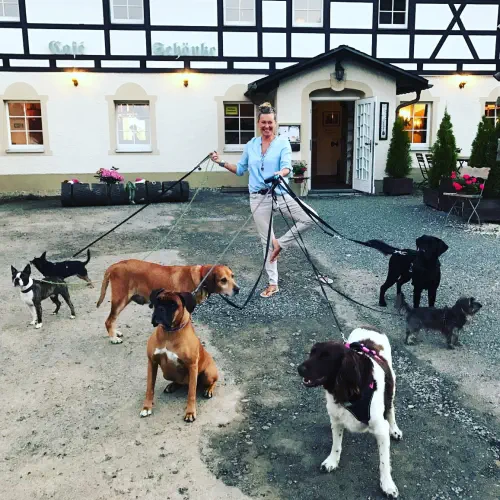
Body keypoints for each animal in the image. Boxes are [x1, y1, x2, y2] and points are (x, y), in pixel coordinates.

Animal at [96, 259, 239, 344]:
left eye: (233, 276)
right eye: (223, 280)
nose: (238, 289)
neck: (199, 278)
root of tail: (115, 265)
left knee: (112, 319)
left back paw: (115, 332)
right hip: (120, 300)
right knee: (109, 320)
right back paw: (113, 338)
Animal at [140, 289, 218, 423]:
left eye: (173, 305)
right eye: (157, 301)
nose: (160, 309)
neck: (169, 333)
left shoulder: (192, 366)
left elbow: (191, 393)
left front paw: (190, 412)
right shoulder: (152, 362)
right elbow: (149, 388)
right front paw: (146, 407)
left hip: (208, 373)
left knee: (212, 381)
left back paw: (208, 390)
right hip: (167, 373)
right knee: (180, 382)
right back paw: (172, 385)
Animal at [298, 327, 402, 499]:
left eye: (326, 357)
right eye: (311, 353)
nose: (299, 369)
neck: (349, 392)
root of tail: (369, 327)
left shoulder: (381, 430)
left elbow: (384, 462)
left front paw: (387, 484)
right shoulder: (336, 419)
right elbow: (336, 444)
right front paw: (332, 461)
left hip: (391, 384)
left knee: (390, 408)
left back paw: (395, 429)